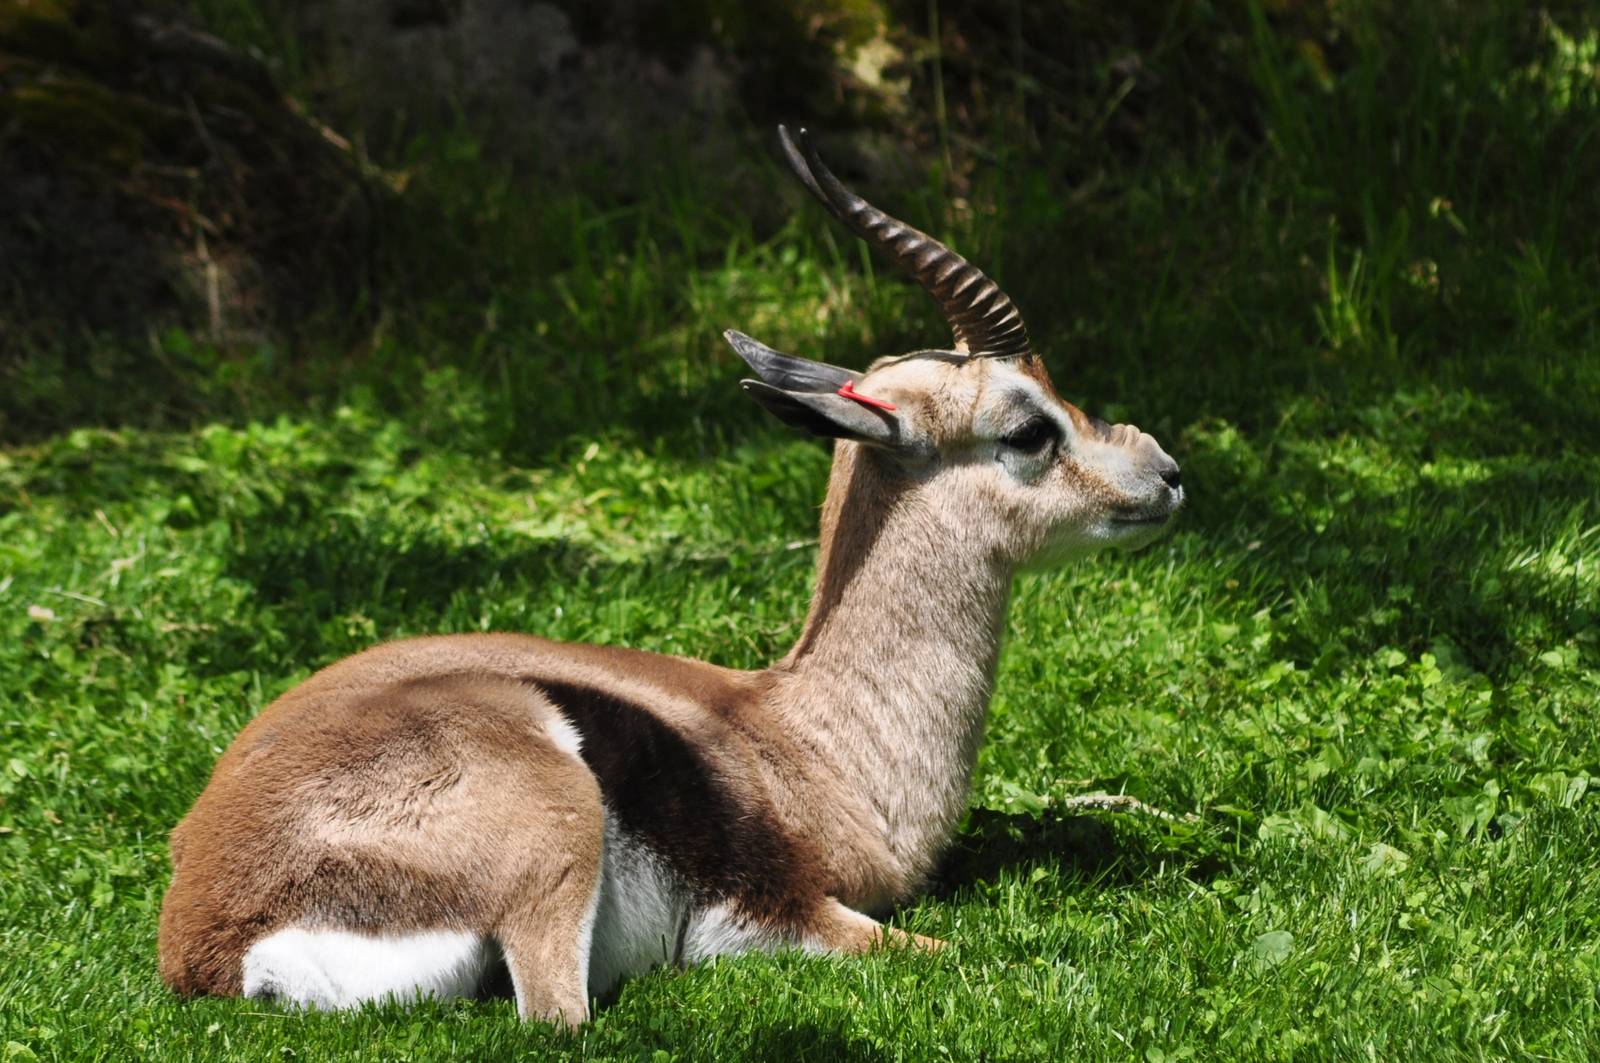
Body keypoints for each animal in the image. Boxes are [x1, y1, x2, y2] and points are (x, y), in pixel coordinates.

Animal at [158, 126, 1184, 1026]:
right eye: (1029, 427)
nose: (1167, 474)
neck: (809, 741)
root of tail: (213, 934)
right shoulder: (785, 907)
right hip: (555, 828)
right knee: (559, 1019)